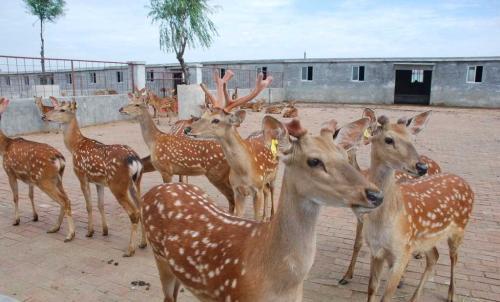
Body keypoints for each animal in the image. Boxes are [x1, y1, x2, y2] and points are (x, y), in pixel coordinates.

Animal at [0, 98, 75, 242]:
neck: (4, 147)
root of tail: (59, 159)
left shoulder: (9, 171)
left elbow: (15, 197)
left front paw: (16, 220)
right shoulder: (30, 179)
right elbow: (31, 195)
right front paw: (35, 217)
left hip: (45, 180)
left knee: (64, 201)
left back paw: (70, 234)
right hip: (57, 179)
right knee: (67, 199)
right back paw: (55, 228)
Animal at [43, 100, 146, 256]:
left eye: (62, 110)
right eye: (53, 107)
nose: (44, 116)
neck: (74, 146)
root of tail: (134, 160)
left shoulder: (81, 176)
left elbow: (89, 205)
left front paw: (90, 232)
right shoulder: (99, 182)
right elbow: (100, 204)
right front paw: (104, 231)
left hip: (118, 185)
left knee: (134, 213)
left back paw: (130, 250)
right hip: (135, 182)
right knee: (141, 208)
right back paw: (143, 243)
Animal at [189, 72, 280, 221]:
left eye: (216, 120)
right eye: (203, 115)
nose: (188, 129)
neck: (244, 171)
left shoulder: (257, 189)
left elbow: (255, 218)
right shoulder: (237, 189)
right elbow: (239, 216)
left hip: (274, 174)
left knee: (272, 190)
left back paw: (271, 215)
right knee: (267, 192)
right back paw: (265, 217)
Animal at [348, 114, 472, 302]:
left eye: (412, 138)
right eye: (388, 139)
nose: (421, 167)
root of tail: (466, 183)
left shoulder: (402, 252)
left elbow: (386, 297)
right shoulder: (377, 251)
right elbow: (372, 289)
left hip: (459, 229)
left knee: (454, 258)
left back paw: (452, 294)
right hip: (426, 239)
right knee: (434, 257)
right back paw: (414, 297)